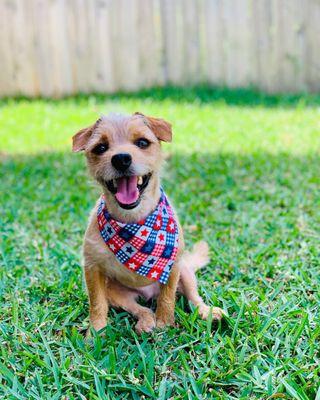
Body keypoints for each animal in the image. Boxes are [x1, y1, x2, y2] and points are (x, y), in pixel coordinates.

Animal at [72, 113, 224, 334]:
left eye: (142, 142)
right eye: (101, 147)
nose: (121, 158)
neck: (134, 221)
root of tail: (148, 293)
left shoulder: (173, 267)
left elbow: (167, 298)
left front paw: (165, 324)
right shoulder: (92, 268)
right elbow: (97, 304)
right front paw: (95, 332)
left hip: (186, 273)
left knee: (193, 297)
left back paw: (206, 311)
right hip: (116, 293)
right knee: (140, 308)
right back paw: (145, 322)